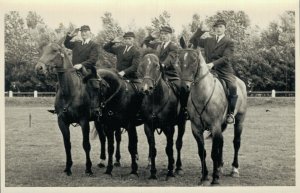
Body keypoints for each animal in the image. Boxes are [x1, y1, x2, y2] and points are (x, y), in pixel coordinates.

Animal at [138, 51, 185, 179]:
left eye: (156, 66)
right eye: (142, 66)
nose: (146, 88)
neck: (156, 100)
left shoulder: (169, 127)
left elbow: (169, 148)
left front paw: (170, 172)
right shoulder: (148, 127)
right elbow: (153, 149)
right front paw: (153, 172)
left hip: (181, 123)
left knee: (178, 144)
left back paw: (178, 167)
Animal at [177, 47, 247, 185]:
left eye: (194, 60)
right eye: (180, 60)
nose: (183, 87)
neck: (202, 94)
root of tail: (241, 82)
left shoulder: (215, 126)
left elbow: (213, 153)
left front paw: (215, 179)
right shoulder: (196, 128)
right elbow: (202, 152)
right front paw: (204, 176)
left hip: (240, 120)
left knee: (236, 142)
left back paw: (234, 169)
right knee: (221, 142)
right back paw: (219, 167)